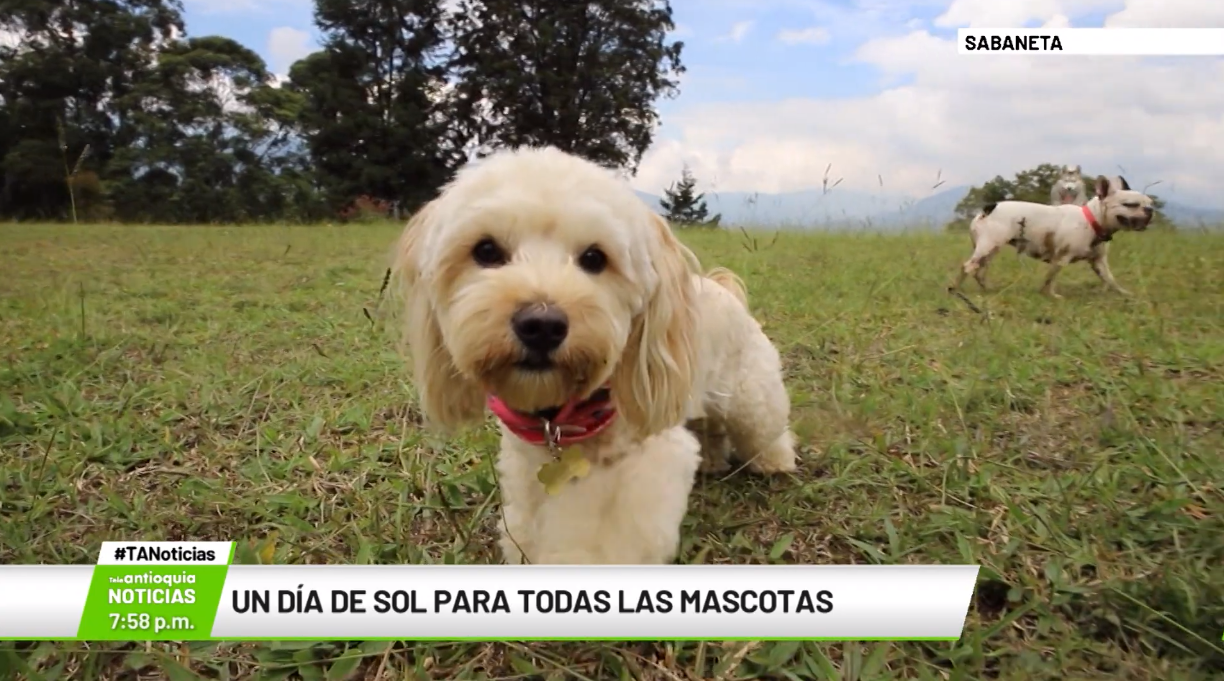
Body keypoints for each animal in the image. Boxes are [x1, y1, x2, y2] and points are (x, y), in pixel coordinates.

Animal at [386, 147, 798, 563]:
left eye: (595, 258)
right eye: (486, 251)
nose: (542, 325)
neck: (562, 418)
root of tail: (724, 289)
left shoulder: (647, 462)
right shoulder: (526, 463)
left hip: (750, 394)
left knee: (764, 428)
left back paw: (774, 461)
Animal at [954, 173, 1155, 296]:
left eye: (1150, 202)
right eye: (1131, 205)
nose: (1150, 209)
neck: (1092, 219)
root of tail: (988, 208)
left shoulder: (1099, 262)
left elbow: (1110, 279)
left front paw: (1122, 292)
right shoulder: (1061, 259)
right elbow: (1050, 279)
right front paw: (1050, 295)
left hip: (990, 250)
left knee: (979, 270)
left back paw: (987, 288)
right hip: (988, 246)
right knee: (967, 267)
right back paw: (957, 290)